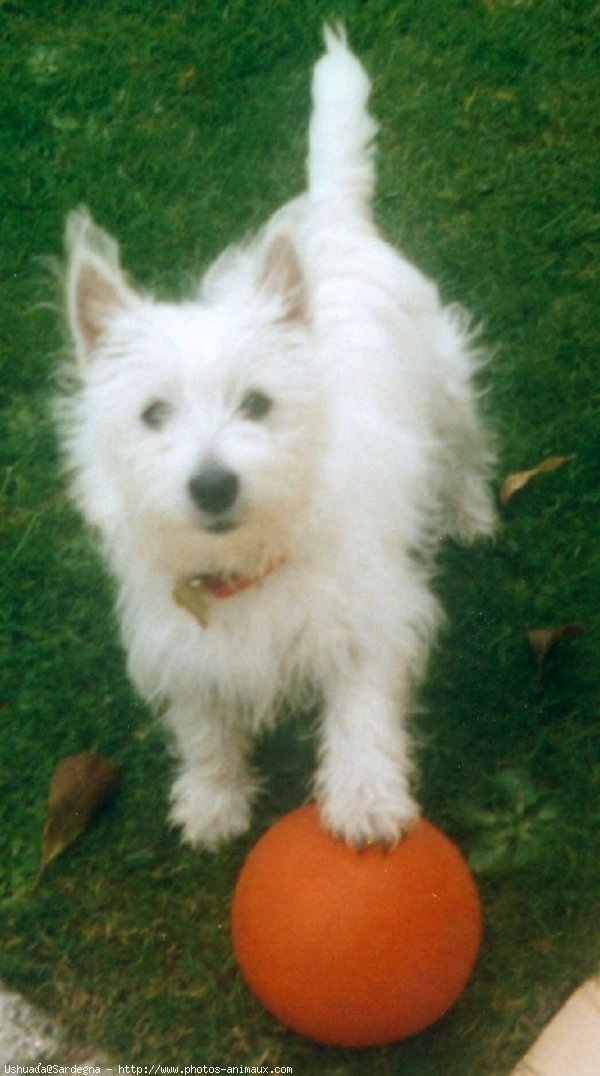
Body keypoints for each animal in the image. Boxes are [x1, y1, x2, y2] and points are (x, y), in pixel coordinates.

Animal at [58, 29, 496, 847]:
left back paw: (471, 509)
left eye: (257, 404)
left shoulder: (368, 615)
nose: (212, 485)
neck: (245, 568)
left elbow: (362, 710)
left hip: (447, 382)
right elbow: (204, 725)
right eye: (153, 414)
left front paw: (364, 799)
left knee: (465, 448)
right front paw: (211, 800)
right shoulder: (183, 646)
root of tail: (332, 217)